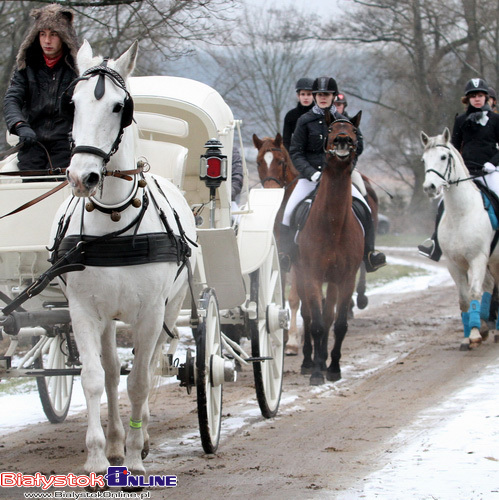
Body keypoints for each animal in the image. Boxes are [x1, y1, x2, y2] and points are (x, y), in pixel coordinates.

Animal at [50, 41, 198, 474]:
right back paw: (116, 442)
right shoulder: (83, 310)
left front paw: (135, 458)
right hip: (109, 317)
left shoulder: (150, 311)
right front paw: (99, 457)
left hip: (172, 306)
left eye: (120, 107)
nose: (82, 177)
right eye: (72, 104)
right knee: (114, 372)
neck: (113, 215)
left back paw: (141, 437)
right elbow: (95, 378)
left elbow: (141, 382)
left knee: (148, 368)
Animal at [294, 113, 366, 384]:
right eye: (331, 129)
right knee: (307, 314)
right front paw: (316, 372)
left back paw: (323, 360)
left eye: (354, 130)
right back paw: (308, 361)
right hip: (299, 274)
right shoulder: (312, 275)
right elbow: (315, 324)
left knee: (328, 315)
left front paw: (333, 367)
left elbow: (339, 323)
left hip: (333, 281)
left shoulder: (345, 278)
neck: (333, 225)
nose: (343, 139)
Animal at [422, 127, 499, 350]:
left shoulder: (478, 259)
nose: (429, 187)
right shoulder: (453, 263)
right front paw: (469, 335)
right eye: (423, 160)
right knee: (490, 285)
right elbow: (464, 299)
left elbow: (474, 293)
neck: (461, 213)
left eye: (443, 156)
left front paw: (474, 333)